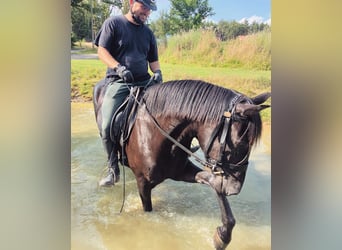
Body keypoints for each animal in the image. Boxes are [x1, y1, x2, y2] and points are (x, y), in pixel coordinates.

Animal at [93, 79, 270, 249]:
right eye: (241, 144)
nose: (235, 189)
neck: (158, 135)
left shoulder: (181, 172)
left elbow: (216, 185)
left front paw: (222, 237)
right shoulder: (142, 182)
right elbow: (148, 210)